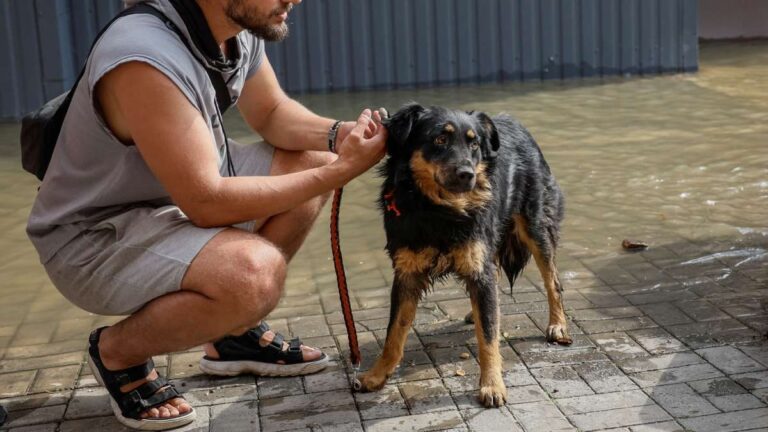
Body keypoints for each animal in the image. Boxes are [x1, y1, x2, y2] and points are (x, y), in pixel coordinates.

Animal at [356, 103, 572, 406]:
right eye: (439, 139)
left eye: (474, 144)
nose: (467, 174)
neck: (438, 209)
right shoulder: (406, 272)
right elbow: (394, 332)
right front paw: (377, 375)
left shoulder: (479, 265)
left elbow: (488, 336)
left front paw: (492, 385)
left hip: (535, 226)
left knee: (553, 280)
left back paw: (558, 324)